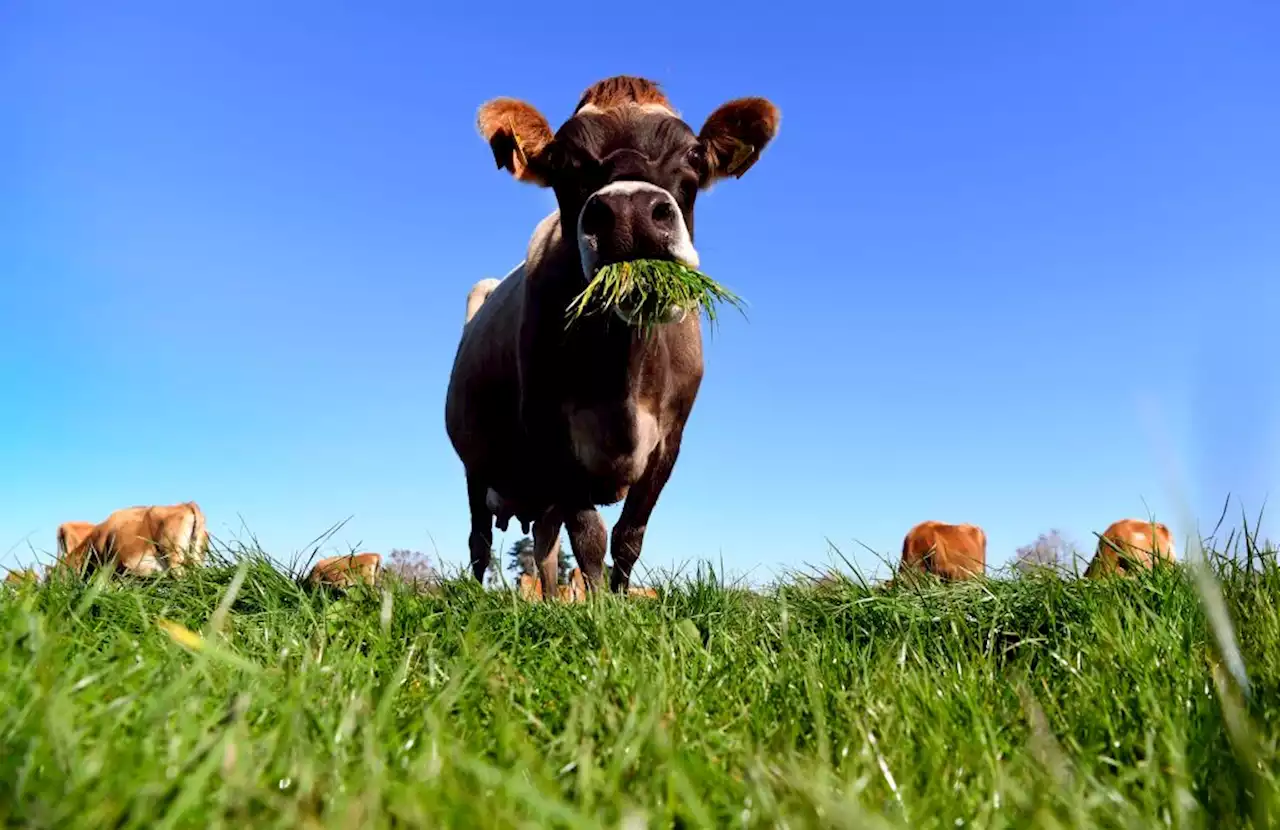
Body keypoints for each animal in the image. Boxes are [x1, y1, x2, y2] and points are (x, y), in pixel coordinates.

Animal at [440, 74, 778, 594]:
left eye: (694, 153)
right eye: (562, 159)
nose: (630, 210)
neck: (622, 374)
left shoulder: (669, 440)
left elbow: (628, 536)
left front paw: (620, 601)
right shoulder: (551, 433)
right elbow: (590, 536)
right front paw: (599, 605)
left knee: (543, 543)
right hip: (476, 463)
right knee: (479, 539)